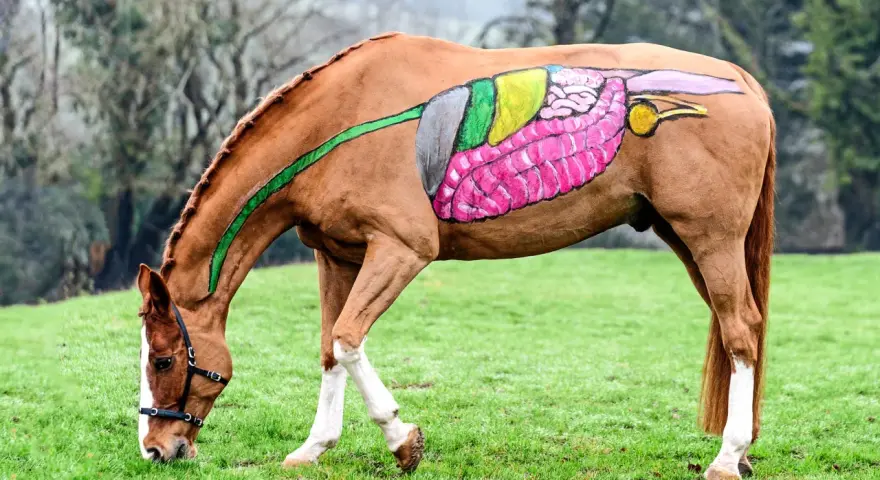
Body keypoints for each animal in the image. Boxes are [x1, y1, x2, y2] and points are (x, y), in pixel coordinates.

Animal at [136, 33, 774, 479]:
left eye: (163, 360)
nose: (155, 449)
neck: (341, 119)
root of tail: (743, 81)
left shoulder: (400, 251)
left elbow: (348, 338)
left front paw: (402, 439)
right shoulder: (338, 258)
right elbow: (329, 350)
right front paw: (315, 446)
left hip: (710, 239)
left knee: (741, 331)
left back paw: (727, 457)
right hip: (686, 240)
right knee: (743, 329)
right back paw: (741, 451)